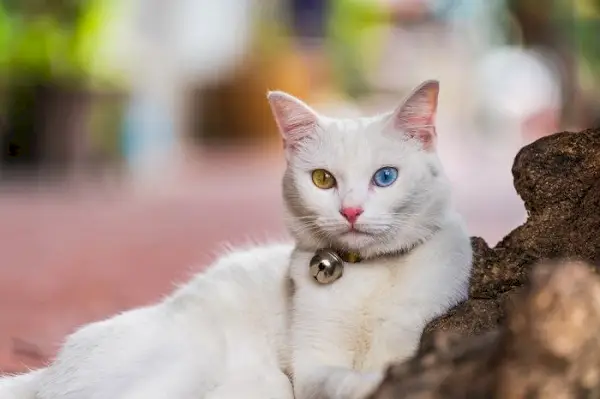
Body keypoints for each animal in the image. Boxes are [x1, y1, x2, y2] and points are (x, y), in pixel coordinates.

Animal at [0, 79, 474, 398]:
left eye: (386, 177)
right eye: (323, 179)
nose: (351, 211)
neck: (366, 276)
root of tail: (48, 372)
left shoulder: (413, 329)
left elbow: (394, 359)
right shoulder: (312, 366)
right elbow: (337, 379)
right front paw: (367, 383)